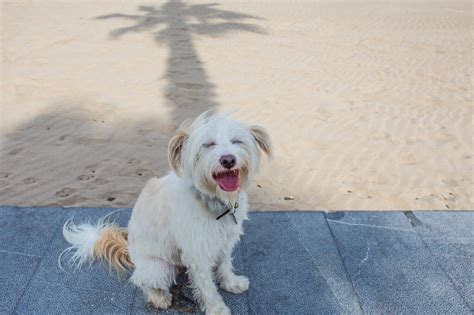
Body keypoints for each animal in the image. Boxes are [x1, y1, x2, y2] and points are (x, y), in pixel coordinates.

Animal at [61, 112, 272, 314]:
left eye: (237, 141)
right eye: (208, 144)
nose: (228, 160)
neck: (214, 200)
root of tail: (130, 252)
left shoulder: (224, 242)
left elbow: (225, 265)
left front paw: (231, 283)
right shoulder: (198, 254)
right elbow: (207, 287)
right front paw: (216, 309)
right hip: (160, 268)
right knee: (140, 281)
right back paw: (159, 297)